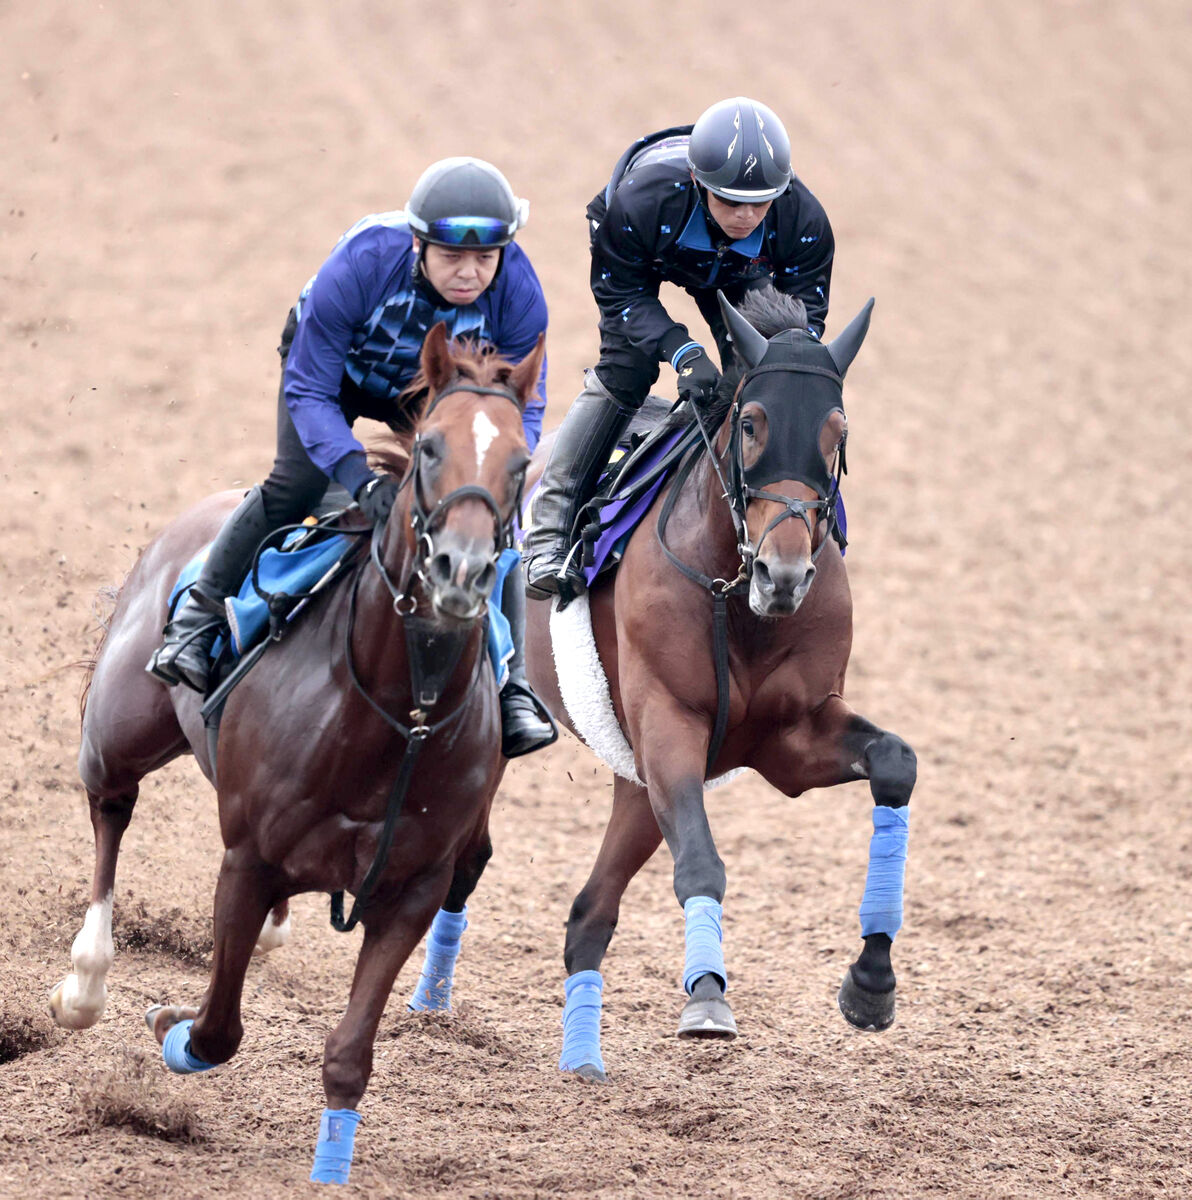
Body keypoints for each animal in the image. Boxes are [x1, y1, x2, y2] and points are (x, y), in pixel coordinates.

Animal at [50, 326, 544, 1180]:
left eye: (519, 462)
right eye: (429, 448)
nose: (463, 570)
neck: (399, 715)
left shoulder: (412, 888)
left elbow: (348, 1053)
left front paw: (331, 1168)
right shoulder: (245, 860)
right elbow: (216, 1028)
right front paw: (167, 1022)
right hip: (119, 731)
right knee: (110, 811)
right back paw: (87, 980)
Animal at [520, 288, 912, 1080]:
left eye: (838, 431)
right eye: (752, 422)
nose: (783, 574)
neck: (736, 598)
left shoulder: (790, 738)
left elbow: (896, 761)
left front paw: (871, 982)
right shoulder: (670, 721)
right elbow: (701, 862)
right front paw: (706, 995)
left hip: (635, 786)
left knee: (588, 916)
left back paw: (582, 1060)